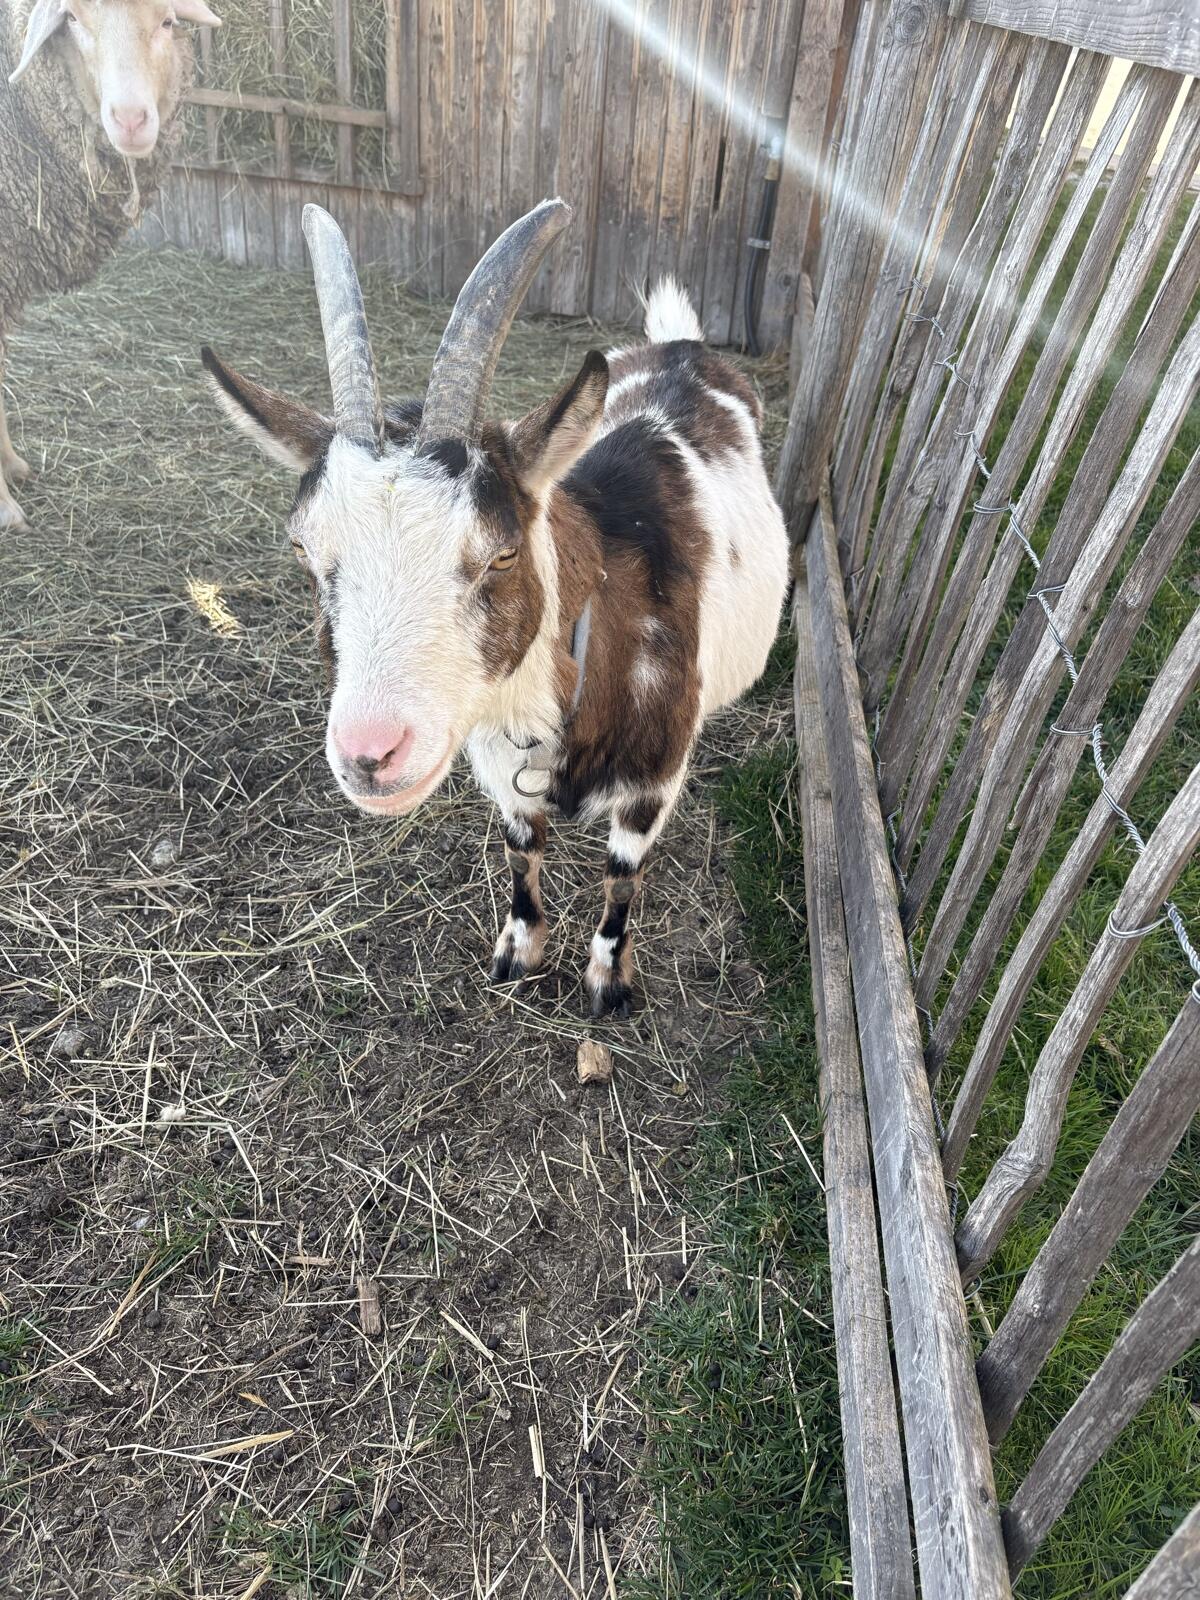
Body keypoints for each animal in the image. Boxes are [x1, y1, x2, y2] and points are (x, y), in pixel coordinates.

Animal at [202, 201, 788, 1015]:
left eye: (502, 553)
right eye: (301, 548)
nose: (370, 755)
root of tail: (683, 345)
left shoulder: (653, 776)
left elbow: (622, 874)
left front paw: (608, 979)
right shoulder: (496, 760)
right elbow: (520, 847)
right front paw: (519, 946)